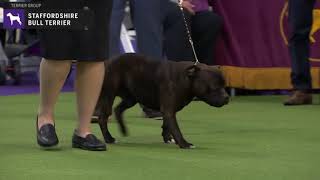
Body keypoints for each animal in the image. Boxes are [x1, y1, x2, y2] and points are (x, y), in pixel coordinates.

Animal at [94, 53, 229, 149]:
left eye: (224, 85)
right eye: (214, 88)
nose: (227, 97)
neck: (187, 78)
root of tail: (108, 61)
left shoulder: (169, 110)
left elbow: (167, 125)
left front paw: (167, 138)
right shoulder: (169, 110)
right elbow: (175, 128)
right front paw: (184, 144)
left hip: (131, 98)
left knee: (118, 109)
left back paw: (123, 129)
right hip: (109, 95)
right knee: (103, 117)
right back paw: (109, 138)